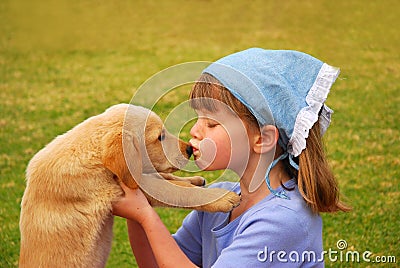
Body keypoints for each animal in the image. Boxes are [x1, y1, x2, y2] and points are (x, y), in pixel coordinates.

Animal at [19, 104, 241, 268]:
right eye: (159, 137)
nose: (188, 149)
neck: (94, 154)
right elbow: (177, 191)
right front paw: (222, 198)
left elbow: (167, 179)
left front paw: (195, 181)